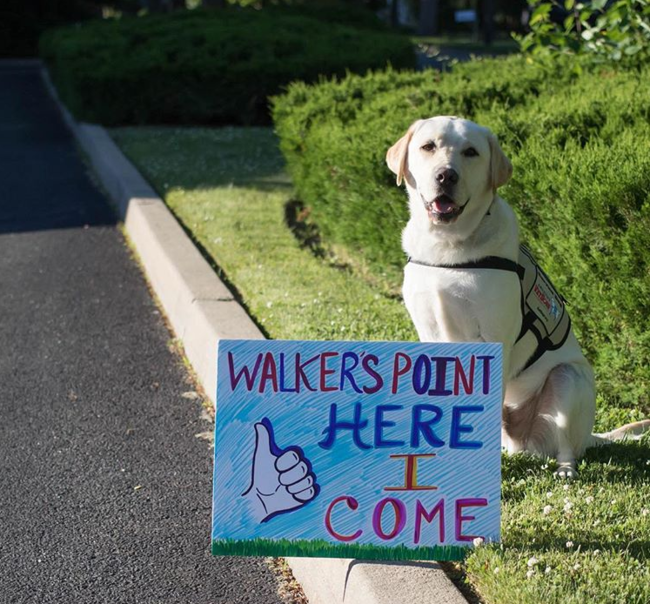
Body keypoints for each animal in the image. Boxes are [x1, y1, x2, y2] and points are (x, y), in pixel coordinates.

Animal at [388, 117, 644, 476]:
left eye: (471, 152)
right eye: (428, 146)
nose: (446, 175)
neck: (447, 248)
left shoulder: (495, 336)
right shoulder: (428, 332)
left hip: (568, 379)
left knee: (567, 446)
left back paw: (565, 469)